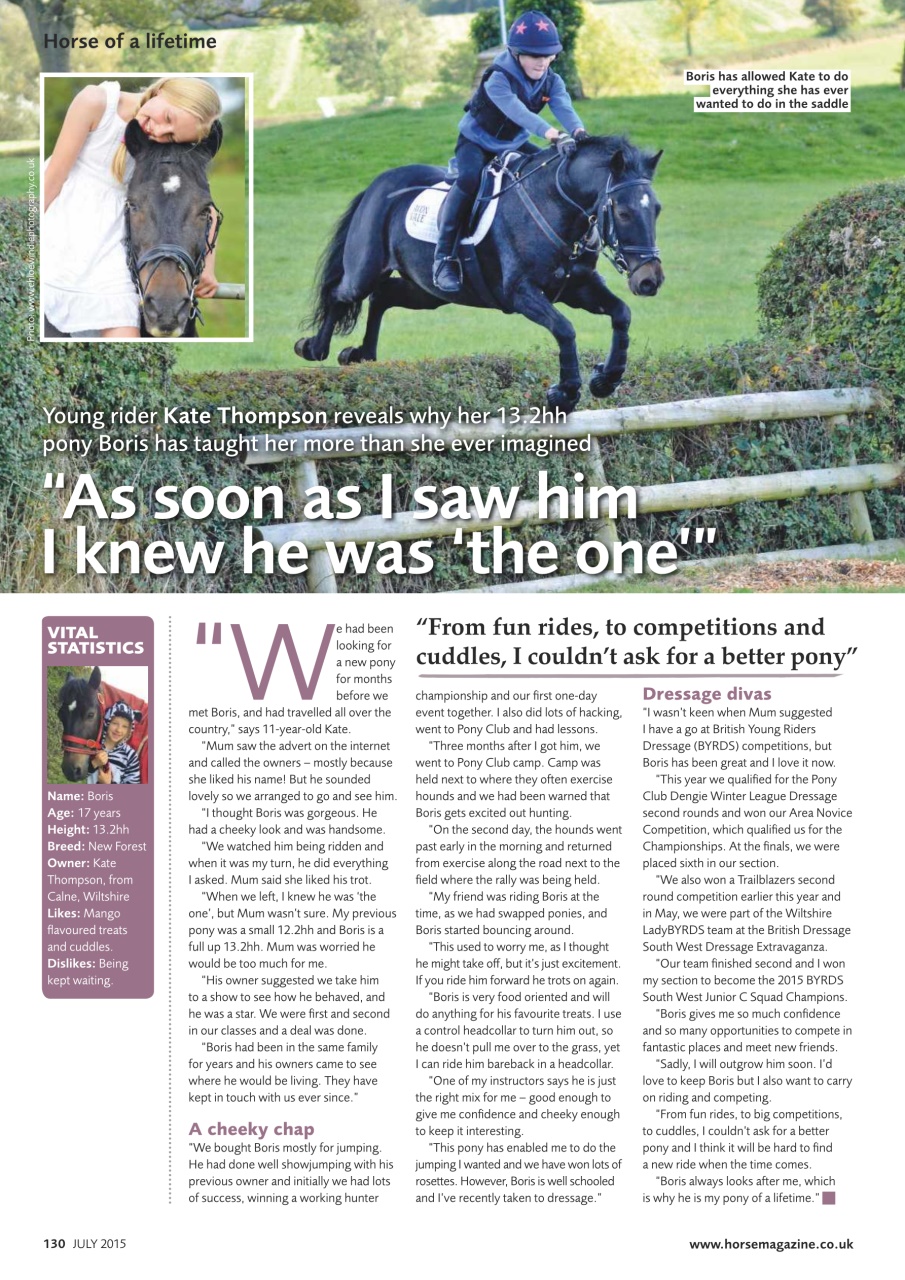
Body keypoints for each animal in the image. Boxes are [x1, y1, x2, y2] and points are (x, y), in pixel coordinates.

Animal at [296, 135, 663, 413]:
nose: (650, 280)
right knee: (341, 294)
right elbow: (564, 329)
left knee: (383, 296)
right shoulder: (520, 293)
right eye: (624, 212)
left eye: (656, 209)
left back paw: (364, 356)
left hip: (428, 292)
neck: (556, 205)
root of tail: (377, 184)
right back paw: (314, 348)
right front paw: (565, 393)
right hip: (366, 269)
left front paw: (605, 379)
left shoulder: (579, 288)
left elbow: (621, 314)